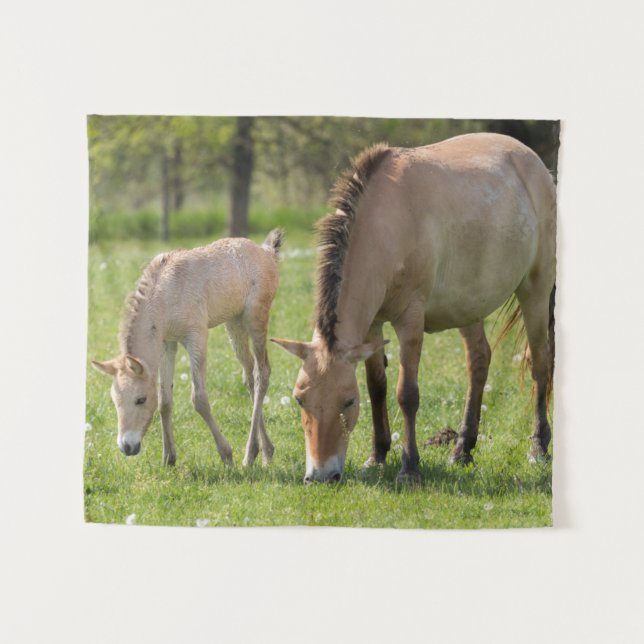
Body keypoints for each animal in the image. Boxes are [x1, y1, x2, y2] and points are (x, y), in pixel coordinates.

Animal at [92, 229, 282, 467]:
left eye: (140, 399)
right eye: (115, 401)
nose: (127, 447)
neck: (166, 294)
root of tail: (267, 253)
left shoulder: (196, 337)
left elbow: (199, 399)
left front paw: (226, 454)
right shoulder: (167, 344)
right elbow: (164, 400)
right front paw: (168, 458)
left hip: (255, 318)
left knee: (262, 373)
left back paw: (248, 456)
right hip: (234, 323)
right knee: (250, 376)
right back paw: (265, 451)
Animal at [272, 133, 556, 483]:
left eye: (348, 401)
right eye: (300, 400)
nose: (321, 475)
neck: (386, 223)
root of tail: (533, 162)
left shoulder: (410, 320)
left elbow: (406, 394)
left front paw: (409, 468)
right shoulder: (372, 326)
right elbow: (377, 387)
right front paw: (377, 456)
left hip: (535, 290)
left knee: (539, 363)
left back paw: (538, 448)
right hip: (467, 305)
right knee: (479, 361)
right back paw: (462, 449)